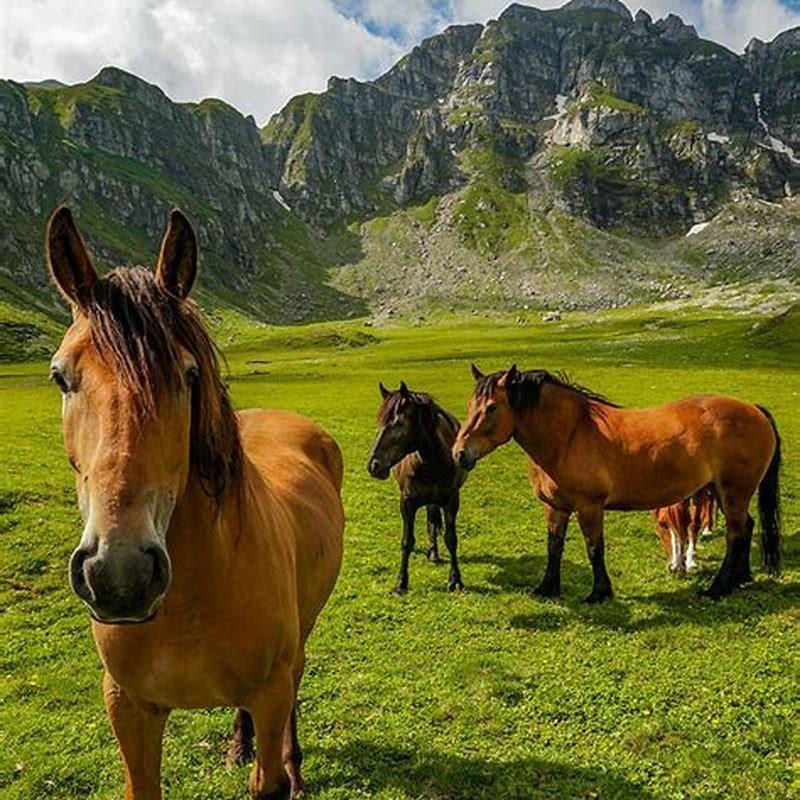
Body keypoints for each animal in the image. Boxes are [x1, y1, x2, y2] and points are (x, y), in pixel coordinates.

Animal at [46, 206, 344, 800]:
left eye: (188, 375)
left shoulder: (271, 691)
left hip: (298, 646)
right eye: (60, 376)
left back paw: (295, 765)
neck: (188, 604)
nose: (120, 574)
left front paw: (281, 770)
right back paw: (237, 745)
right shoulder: (128, 706)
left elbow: (270, 775)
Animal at [367, 382, 467, 594]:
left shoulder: (451, 501)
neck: (432, 462)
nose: (373, 465)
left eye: (399, 423)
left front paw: (455, 579)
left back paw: (434, 553)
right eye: (380, 422)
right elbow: (407, 541)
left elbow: (451, 539)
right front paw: (401, 582)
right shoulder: (407, 502)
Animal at [453, 364, 781, 602]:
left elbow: (594, 549)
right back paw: (741, 579)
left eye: (492, 408)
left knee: (735, 535)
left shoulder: (589, 507)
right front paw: (547, 588)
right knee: (747, 527)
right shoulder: (556, 508)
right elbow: (554, 547)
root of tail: (754, 409)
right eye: (471, 405)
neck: (570, 434)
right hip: (724, 494)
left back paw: (718, 588)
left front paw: (599, 593)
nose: (459, 453)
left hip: (733, 493)